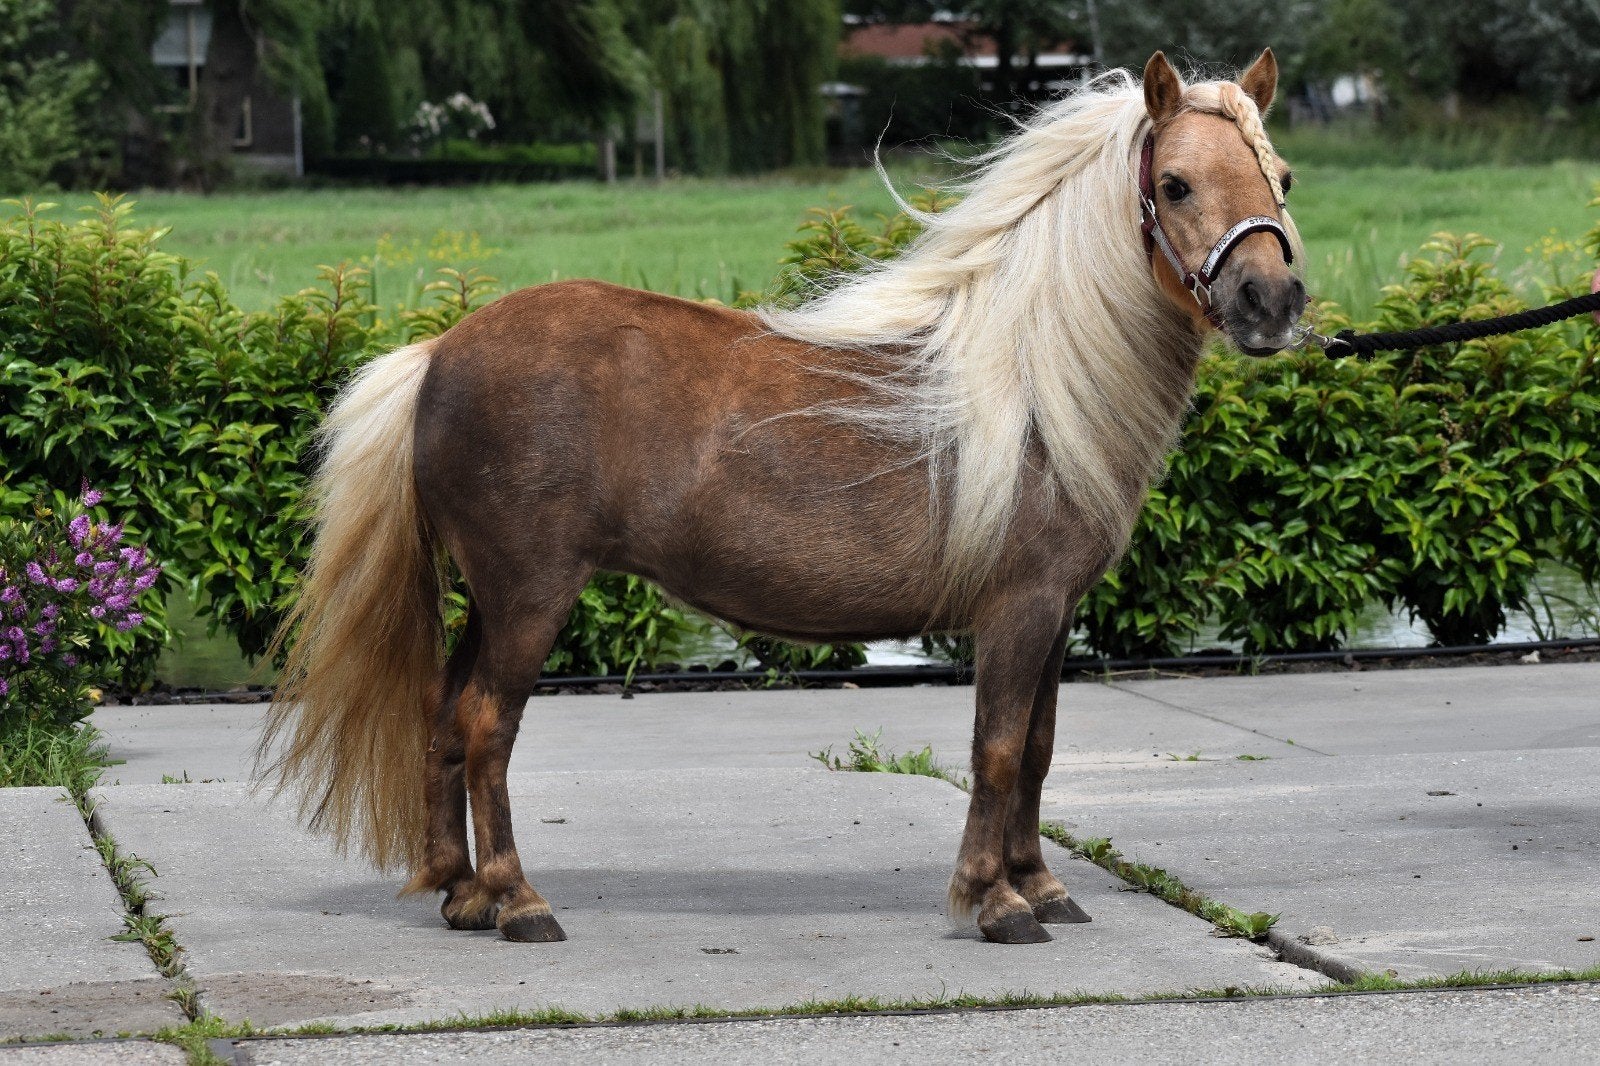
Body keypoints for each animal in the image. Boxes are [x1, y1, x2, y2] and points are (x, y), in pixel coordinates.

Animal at [261, 50, 1306, 946]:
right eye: (1175, 185)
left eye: (1283, 178)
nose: (1271, 302)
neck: (1033, 381)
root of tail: (439, 352)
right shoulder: (1019, 610)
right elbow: (1000, 749)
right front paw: (996, 902)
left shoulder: (1053, 616)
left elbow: (1040, 747)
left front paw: (1041, 886)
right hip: (529, 595)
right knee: (486, 726)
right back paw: (518, 901)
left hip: (491, 597)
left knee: (446, 716)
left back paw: (462, 891)